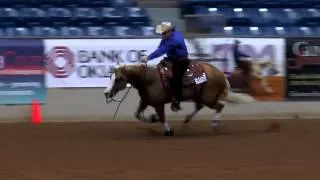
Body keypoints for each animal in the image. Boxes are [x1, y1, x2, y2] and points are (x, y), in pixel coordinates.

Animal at [104, 59, 254, 136]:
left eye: (118, 79)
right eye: (110, 77)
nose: (106, 93)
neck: (149, 80)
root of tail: (221, 73)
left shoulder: (158, 104)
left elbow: (162, 118)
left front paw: (169, 130)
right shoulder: (145, 101)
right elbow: (138, 115)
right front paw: (153, 118)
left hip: (208, 98)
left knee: (219, 106)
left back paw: (214, 125)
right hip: (199, 96)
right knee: (200, 107)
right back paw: (186, 121)